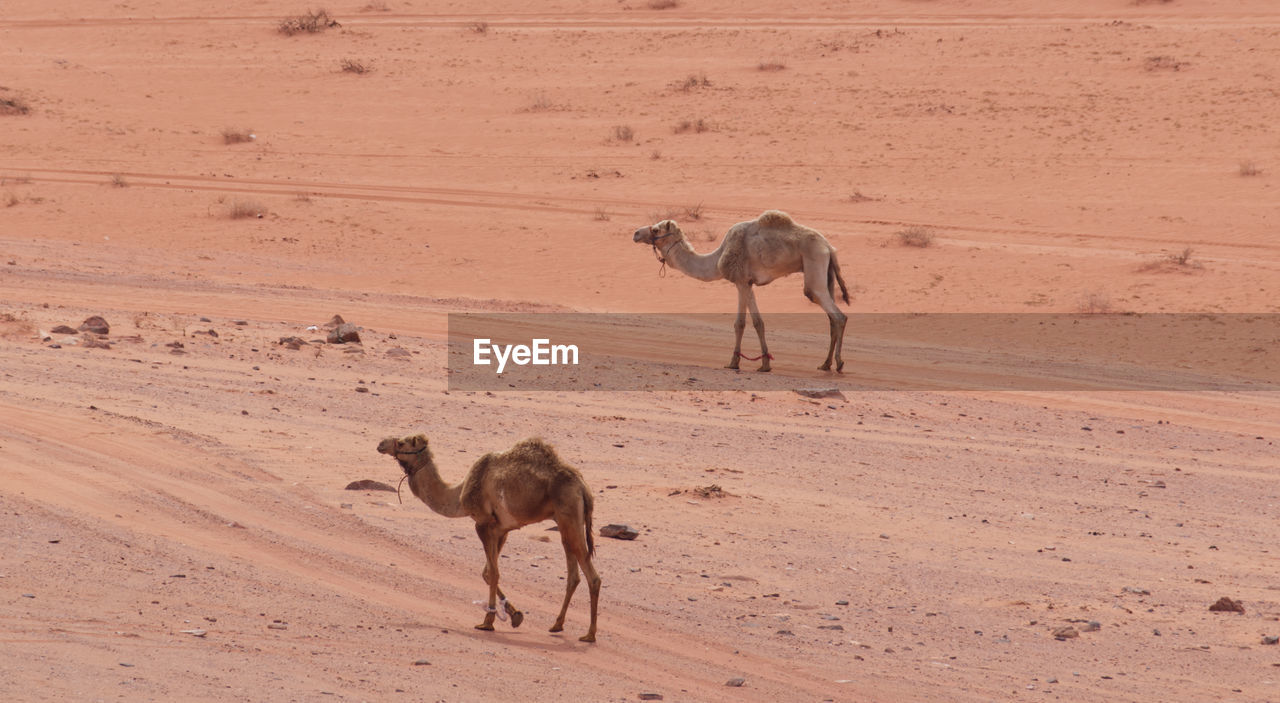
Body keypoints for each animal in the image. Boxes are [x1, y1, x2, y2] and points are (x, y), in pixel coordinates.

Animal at [376, 432, 601, 640]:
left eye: (402, 442)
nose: (381, 444)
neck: (459, 494)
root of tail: (583, 488)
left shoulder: (483, 524)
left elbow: (493, 572)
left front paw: (487, 621)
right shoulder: (501, 529)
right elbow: (486, 572)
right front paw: (515, 615)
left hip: (569, 513)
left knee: (593, 577)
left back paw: (589, 634)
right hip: (565, 522)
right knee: (573, 575)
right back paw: (557, 625)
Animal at [629, 210, 849, 368]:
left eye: (656, 230)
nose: (636, 233)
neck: (717, 258)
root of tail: (829, 247)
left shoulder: (740, 280)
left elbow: (741, 323)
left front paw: (734, 362)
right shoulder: (748, 282)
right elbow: (757, 322)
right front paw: (764, 363)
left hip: (814, 263)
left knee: (836, 314)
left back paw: (838, 363)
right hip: (826, 272)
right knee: (832, 318)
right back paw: (825, 364)